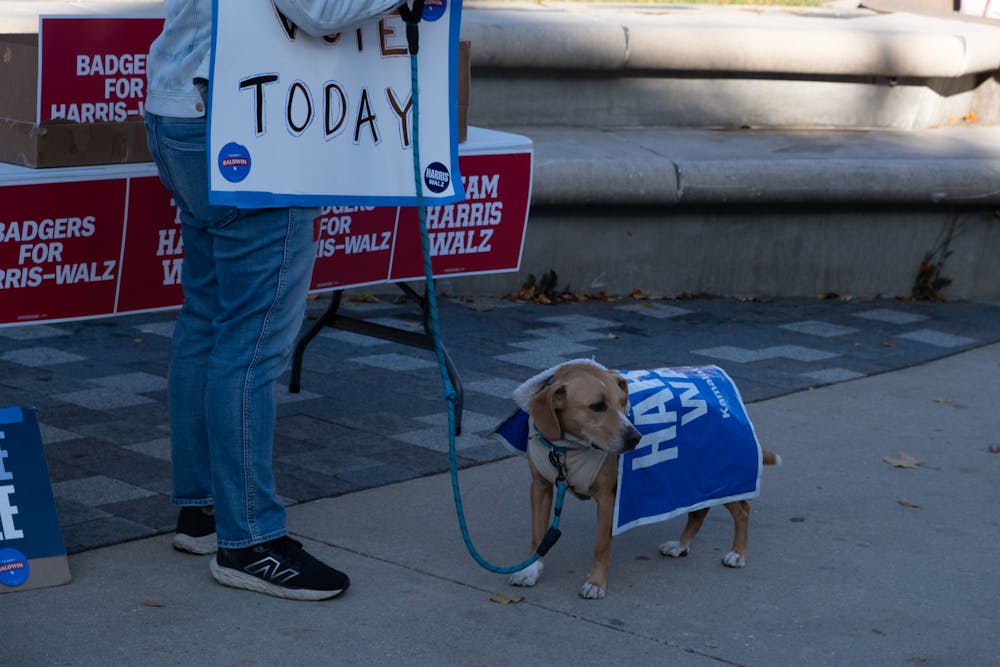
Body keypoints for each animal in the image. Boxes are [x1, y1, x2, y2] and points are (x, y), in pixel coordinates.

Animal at [508, 362, 780, 604]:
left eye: (623, 403)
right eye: (597, 406)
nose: (636, 438)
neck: (567, 449)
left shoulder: (609, 499)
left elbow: (601, 546)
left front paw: (595, 583)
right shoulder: (540, 488)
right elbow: (538, 536)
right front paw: (531, 570)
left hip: (718, 475)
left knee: (742, 511)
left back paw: (737, 553)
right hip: (690, 479)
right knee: (699, 511)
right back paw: (681, 545)